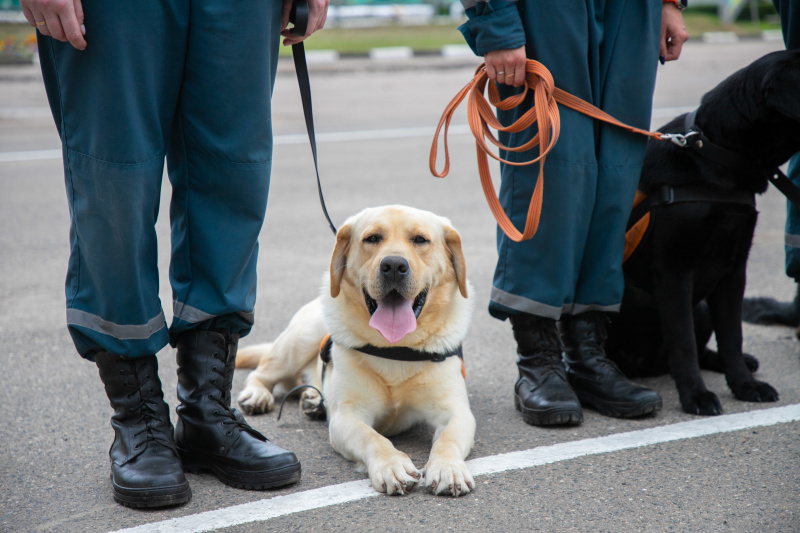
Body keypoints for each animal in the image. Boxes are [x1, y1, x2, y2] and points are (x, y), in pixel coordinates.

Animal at [236, 206, 476, 496]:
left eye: (420, 240)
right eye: (372, 238)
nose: (393, 266)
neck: (396, 347)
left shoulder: (456, 410)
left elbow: (448, 439)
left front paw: (447, 468)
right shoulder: (347, 416)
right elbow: (372, 437)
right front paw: (392, 465)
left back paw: (313, 400)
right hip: (299, 339)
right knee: (262, 372)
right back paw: (258, 395)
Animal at [608, 50, 800, 416]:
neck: (714, 155)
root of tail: (645, 366)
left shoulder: (733, 270)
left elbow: (732, 336)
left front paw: (745, 386)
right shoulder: (673, 273)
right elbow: (682, 343)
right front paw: (695, 397)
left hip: (700, 306)